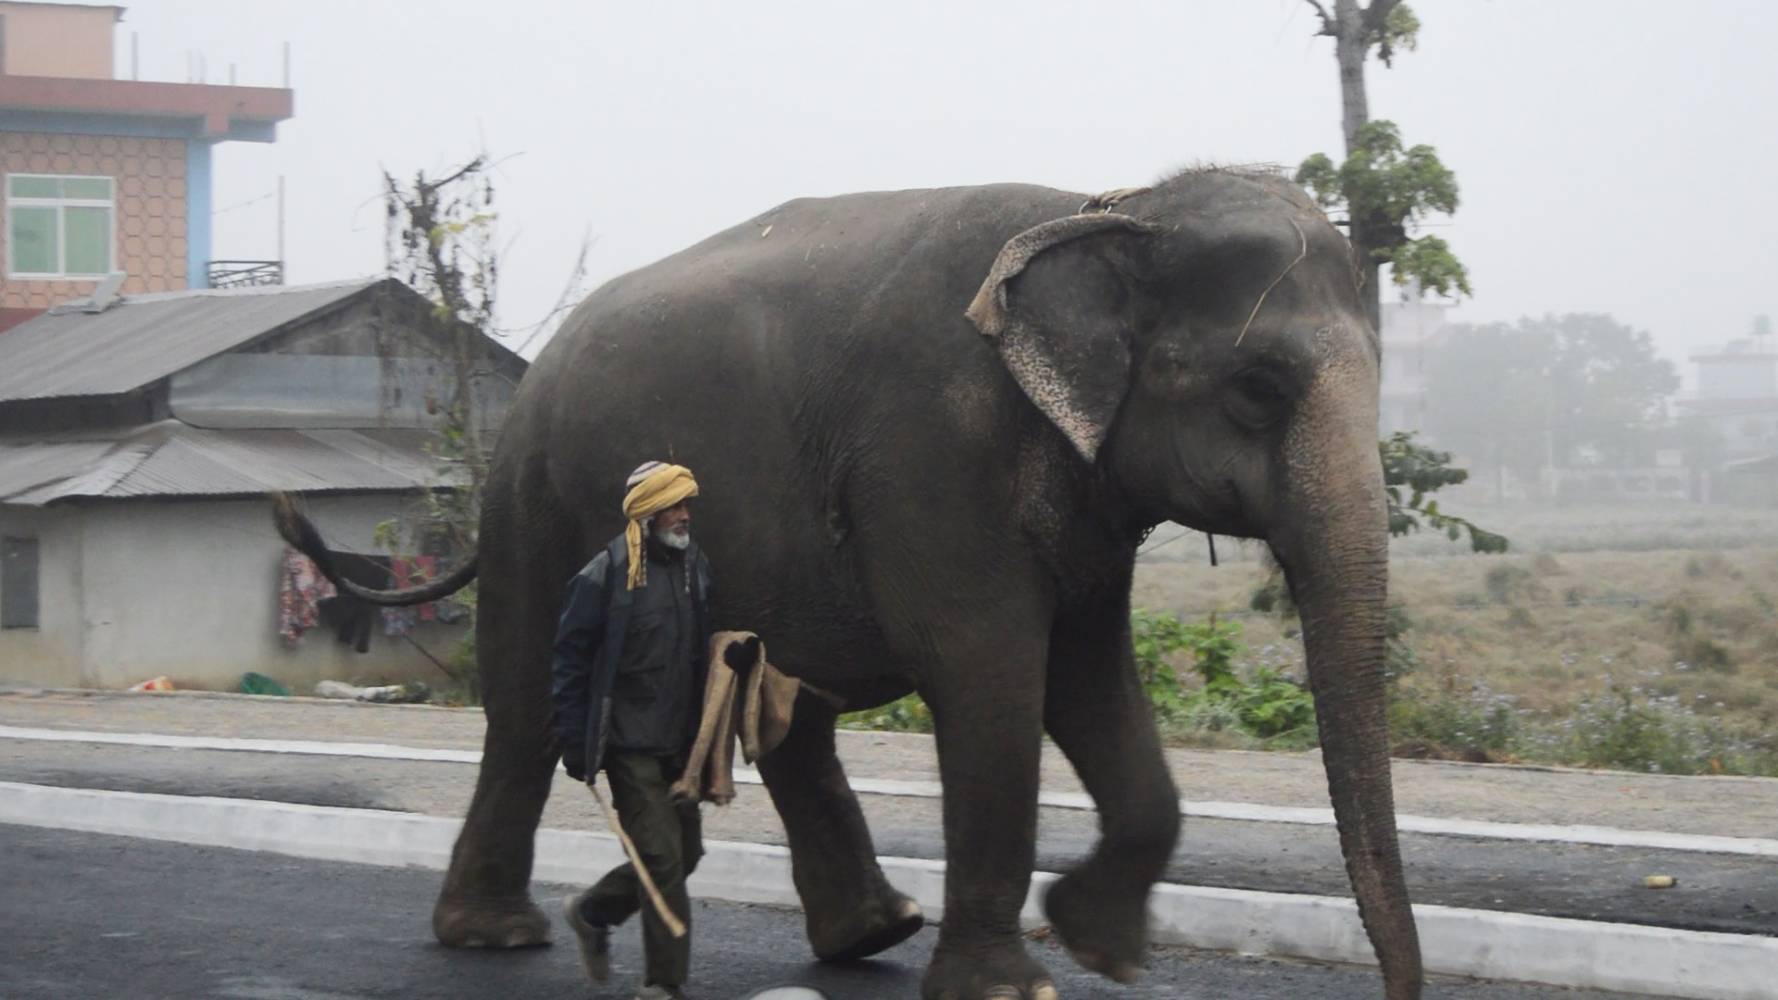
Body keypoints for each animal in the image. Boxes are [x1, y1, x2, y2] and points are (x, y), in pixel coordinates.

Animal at [274, 167, 1421, 1000]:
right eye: (1258, 389)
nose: (1396, 991)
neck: (1107, 207)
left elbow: (1088, 675)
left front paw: (1100, 950)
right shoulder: (930, 448)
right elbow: (989, 667)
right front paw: (1013, 989)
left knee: (789, 712)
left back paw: (872, 931)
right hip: (534, 500)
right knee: (523, 703)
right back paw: (498, 938)